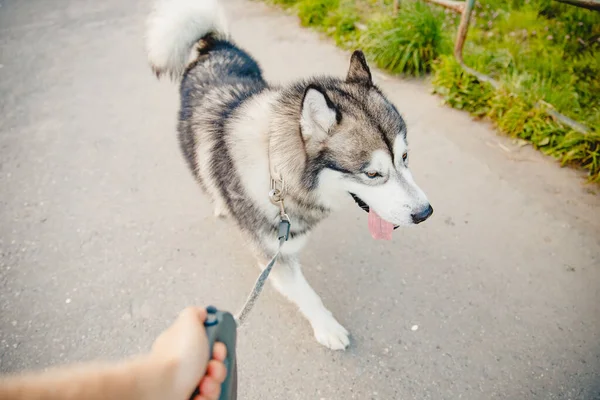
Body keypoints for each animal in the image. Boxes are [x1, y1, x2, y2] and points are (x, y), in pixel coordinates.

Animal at [148, 0, 434, 350]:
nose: (425, 213)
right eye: (372, 173)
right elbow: (307, 295)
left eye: (405, 157)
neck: (276, 168)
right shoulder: (274, 258)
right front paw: (327, 327)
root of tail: (214, 44)